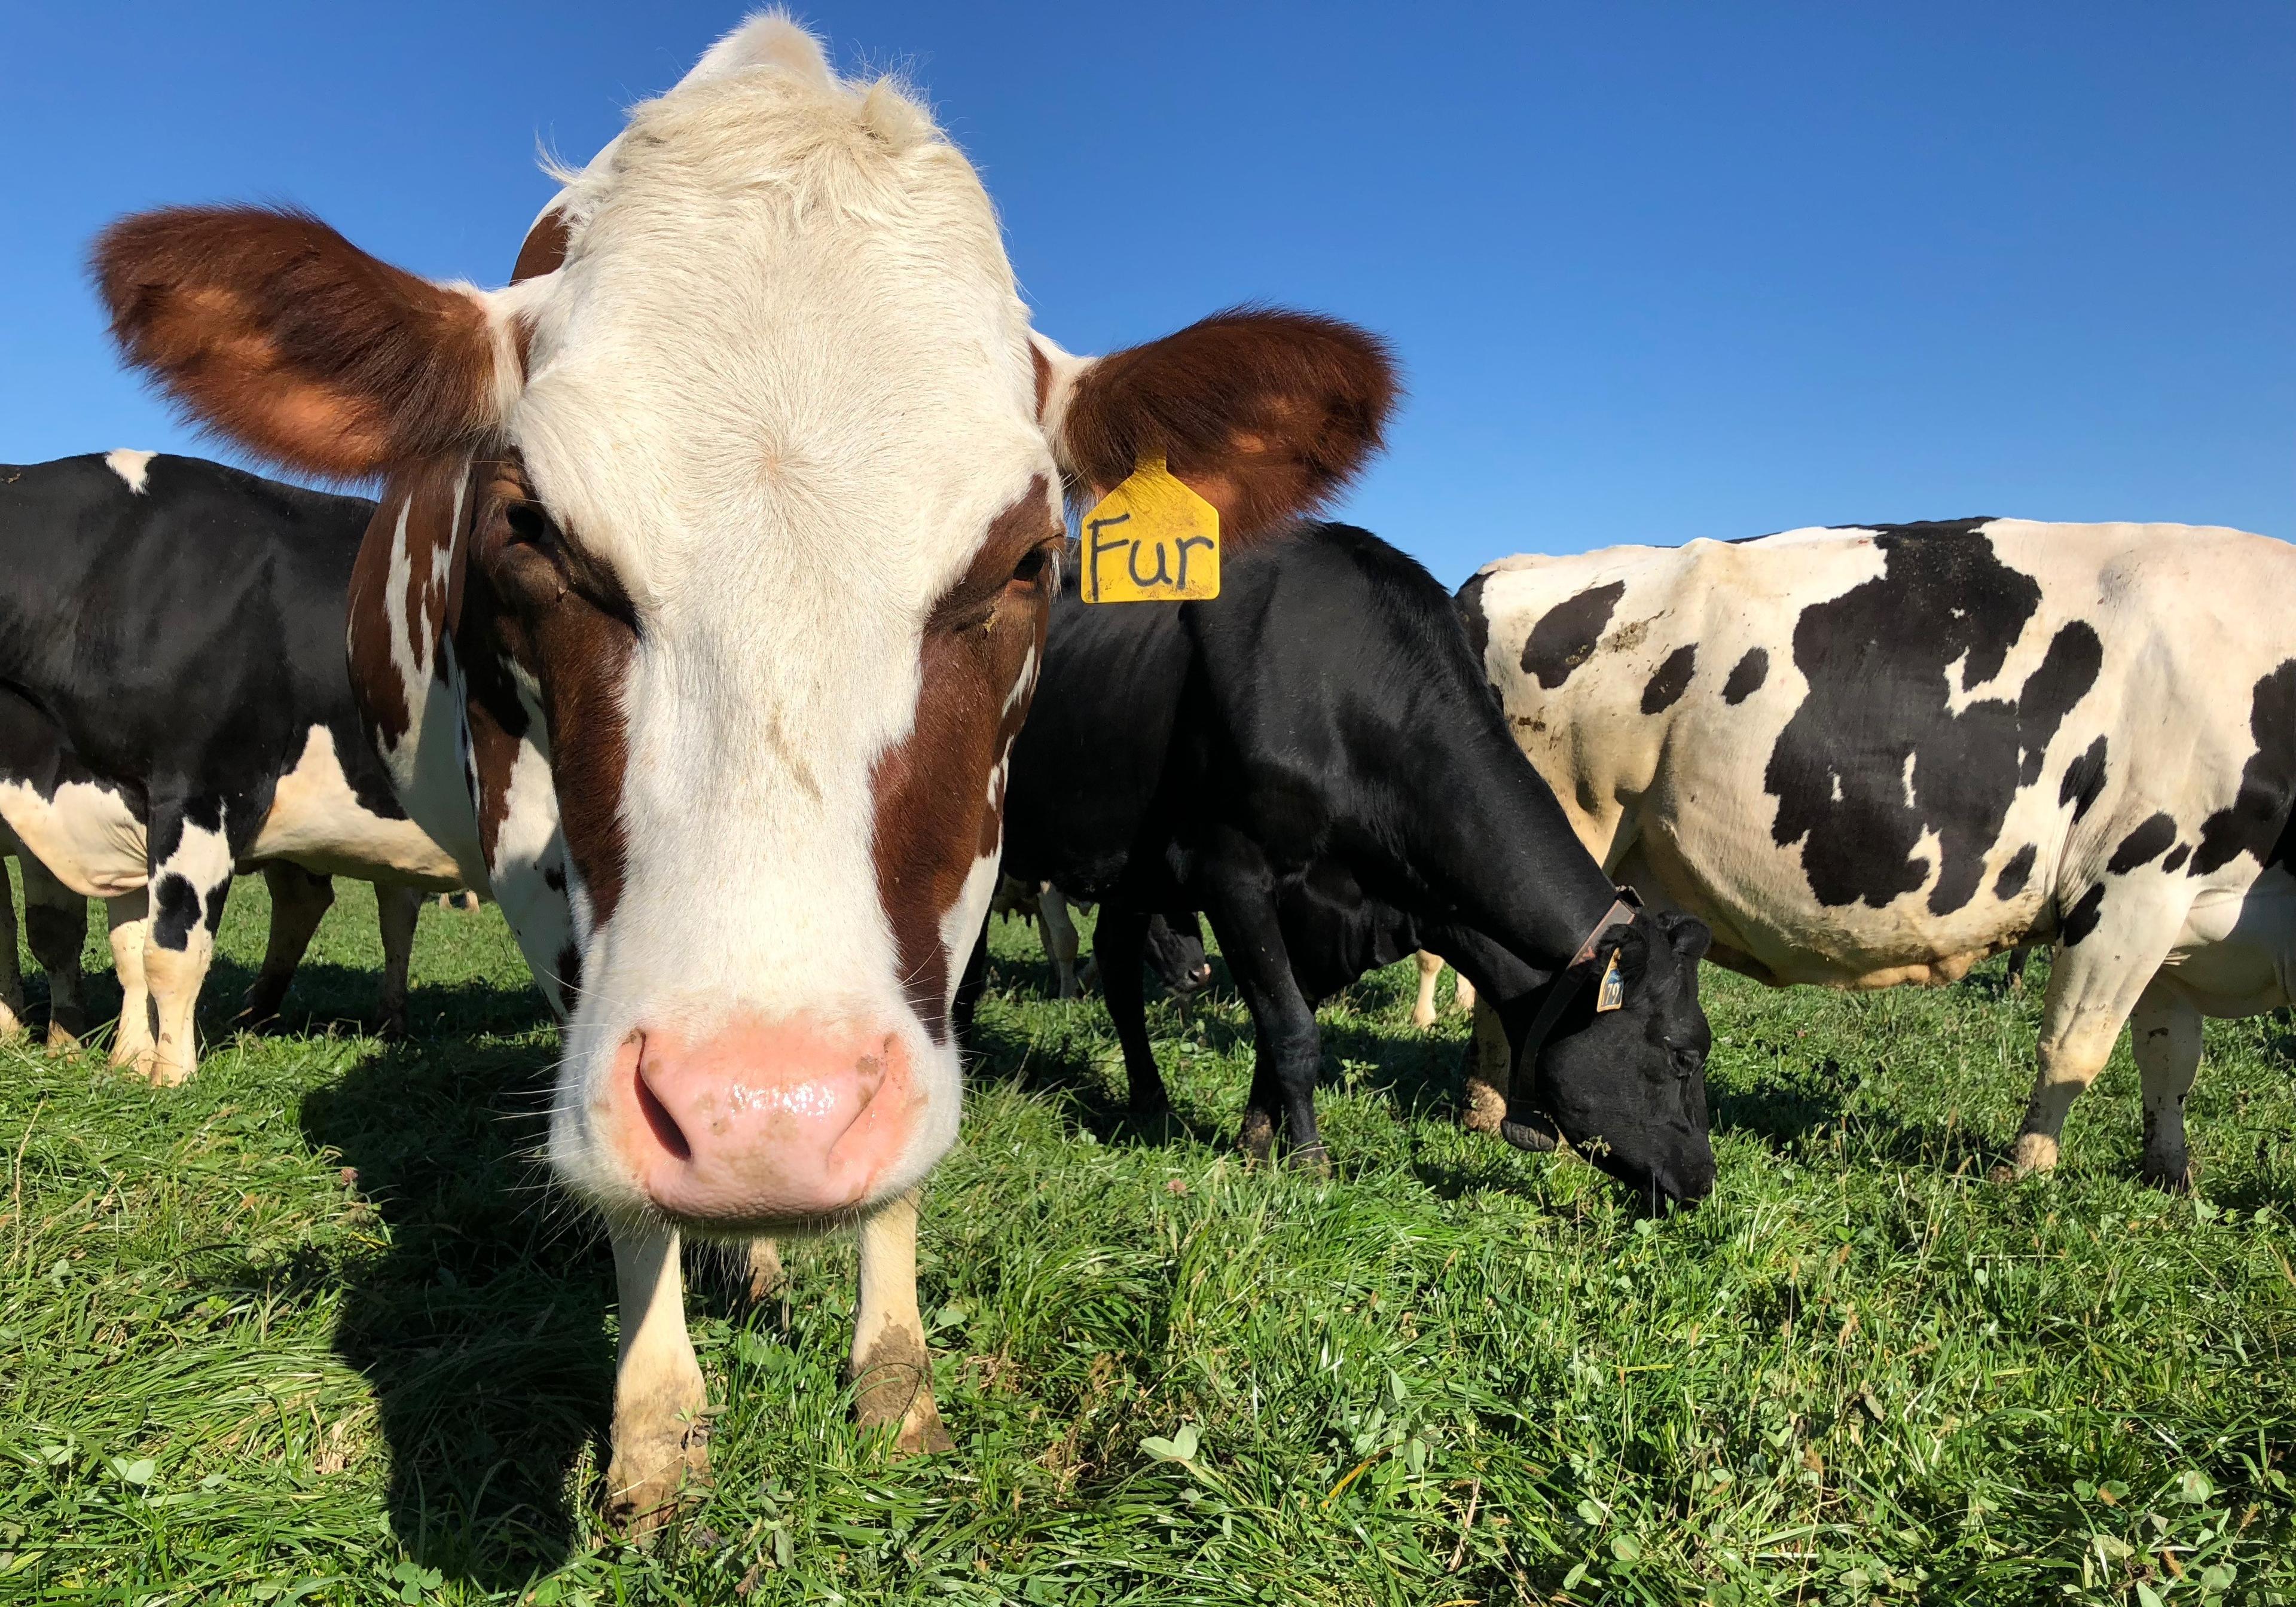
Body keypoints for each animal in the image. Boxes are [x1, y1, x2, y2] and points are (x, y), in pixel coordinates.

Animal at [0, 452, 468, 1079]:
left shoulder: (206, 792)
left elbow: (170, 951)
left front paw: (169, 1078)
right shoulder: (116, 808)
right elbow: (126, 946)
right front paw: (128, 1060)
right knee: (370, 898)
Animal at [94, 19, 1396, 1524]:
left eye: (1030, 559)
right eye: (527, 529)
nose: (760, 1119)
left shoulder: (967, 868)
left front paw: (896, 1388)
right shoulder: (536, 869)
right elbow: (626, 1199)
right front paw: (656, 1432)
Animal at [978, 521, 1717, 1203]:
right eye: (1682, 1054)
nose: (1705, 1179)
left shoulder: (1329, 915)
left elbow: (1279, 1031)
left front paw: (1255, 1143)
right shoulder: (1233, 871)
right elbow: (1294, 1035)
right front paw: (1309, 1161)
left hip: (1133, 873)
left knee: (1117, 965)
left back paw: (1151, 1102)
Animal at [1460, 521, 2296, 1184]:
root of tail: (1509, 569)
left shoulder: (2184, 921)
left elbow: (2168, 1059)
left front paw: (2169, 1175)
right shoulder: (2132, 882)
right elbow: (2074, 1050)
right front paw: (2025, 1173)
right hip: (1568, 818)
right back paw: (1489, 1111)